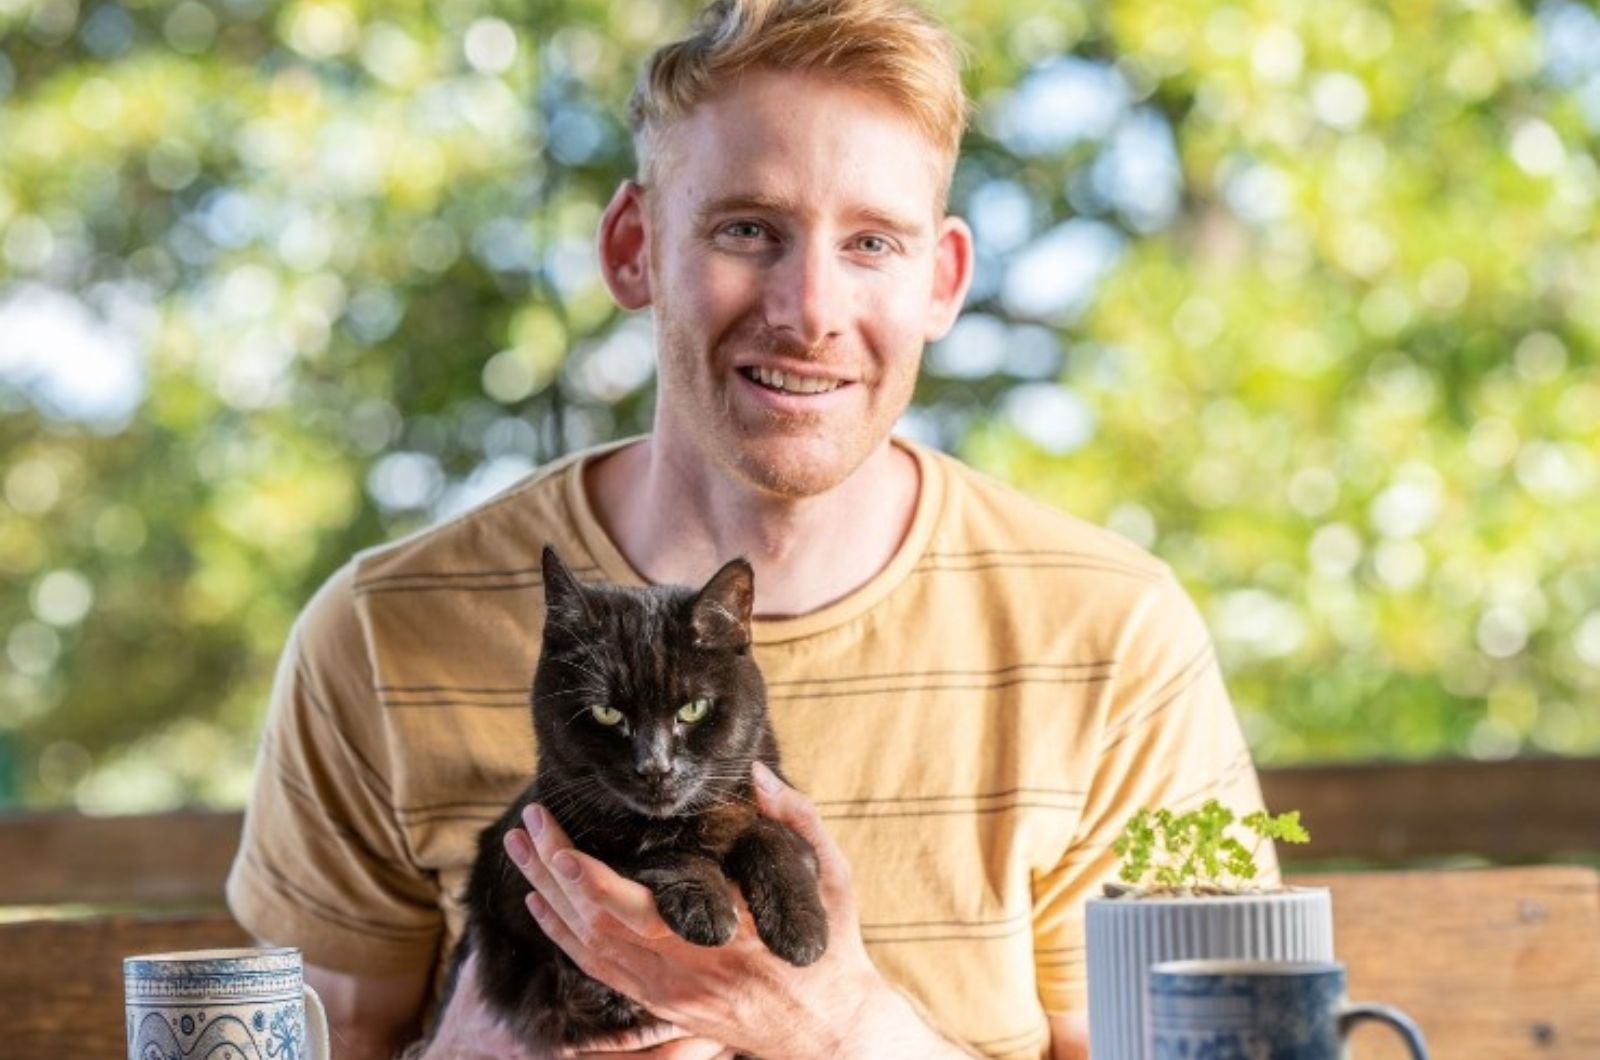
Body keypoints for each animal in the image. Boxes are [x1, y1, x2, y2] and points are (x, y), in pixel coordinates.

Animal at [448, 547, 825, 1056]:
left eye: (693, 709)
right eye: (607, 713)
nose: (655, 766)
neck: (691, 820)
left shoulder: (767, 790)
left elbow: (771, 833)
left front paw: (800, 927)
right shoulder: (528, 864)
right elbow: (641, 845)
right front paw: (704, 905)